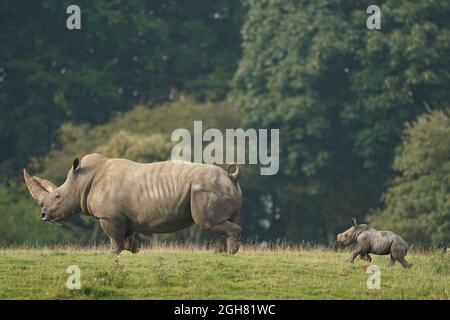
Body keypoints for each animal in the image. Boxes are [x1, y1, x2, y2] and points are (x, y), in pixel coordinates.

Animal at [23, 154, 243, 255]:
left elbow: (114, 238)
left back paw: (231, 253)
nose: (43, 215)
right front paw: (131, 252)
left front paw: (111, 254)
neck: (82, 181)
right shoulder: (124, 218)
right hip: (216, 186)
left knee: (209, 222)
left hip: (206, 188)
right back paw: (219, 253)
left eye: (57, 197)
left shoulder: (109, 217)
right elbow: (128, 239)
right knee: (218, 223)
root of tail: (230, 176)